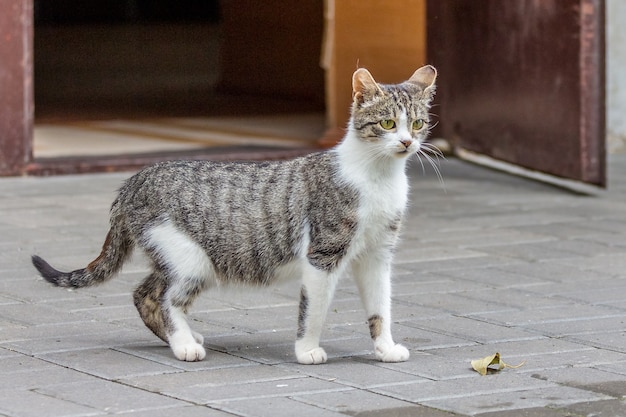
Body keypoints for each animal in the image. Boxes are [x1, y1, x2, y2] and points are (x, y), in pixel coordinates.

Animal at [31, 66, 434, 364]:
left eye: (417, 124)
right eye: (386, 124)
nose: (406, 142)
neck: (378, 177)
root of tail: (136, 179)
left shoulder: (377, 255)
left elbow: (381, 307)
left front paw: (385, 349)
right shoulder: (323, 256)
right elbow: (314, 311)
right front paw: (307, 350)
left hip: (176, 256)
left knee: (144, 293)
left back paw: (183, 338)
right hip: (192, 259)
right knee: (166, 299)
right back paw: (184, 346)